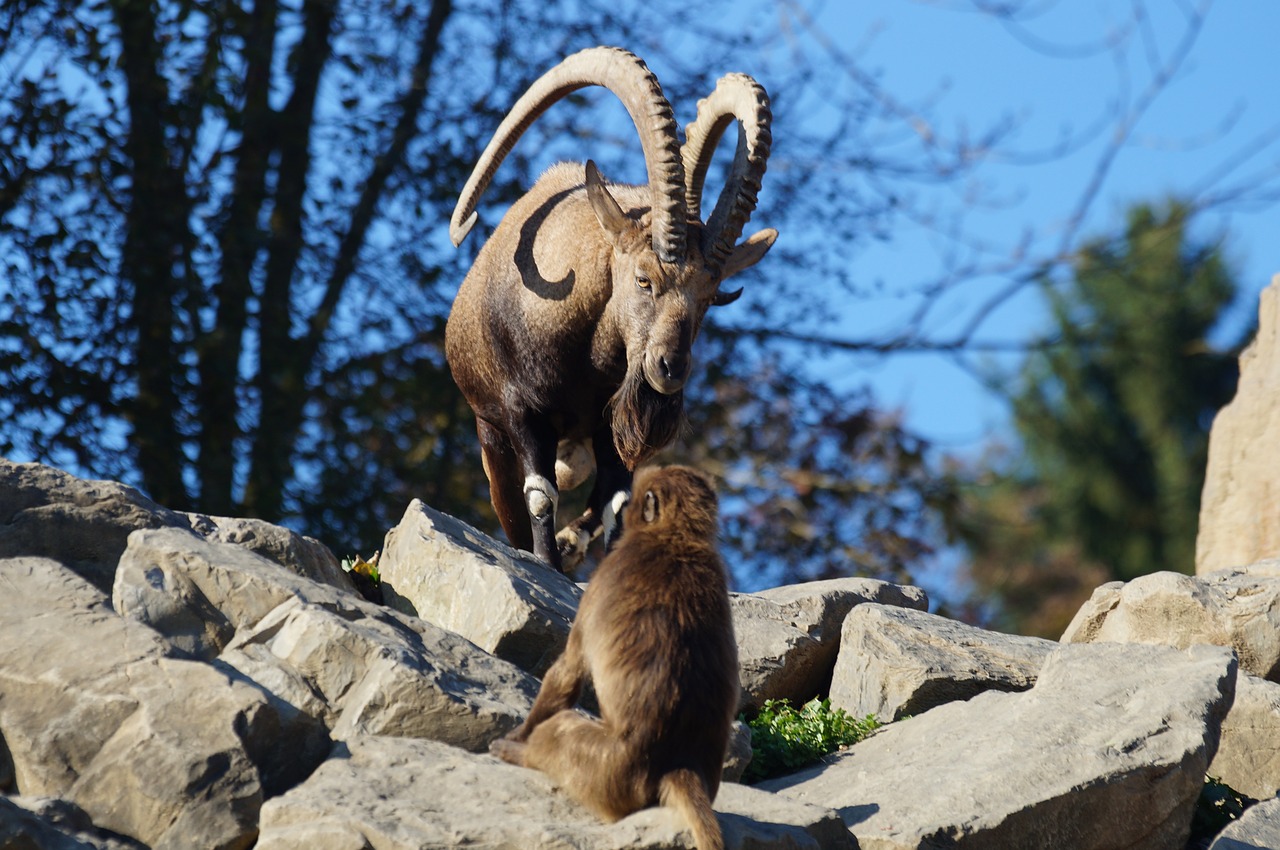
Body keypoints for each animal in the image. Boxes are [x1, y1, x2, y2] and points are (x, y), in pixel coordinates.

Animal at [491, 465, 742, 850]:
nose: (623, 518)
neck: (674, 535)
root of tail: (678, 764)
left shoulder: (602, 578)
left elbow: (569, 672)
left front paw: (518, 736)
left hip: (605, 772)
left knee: (560, 729)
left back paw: (519, 753)